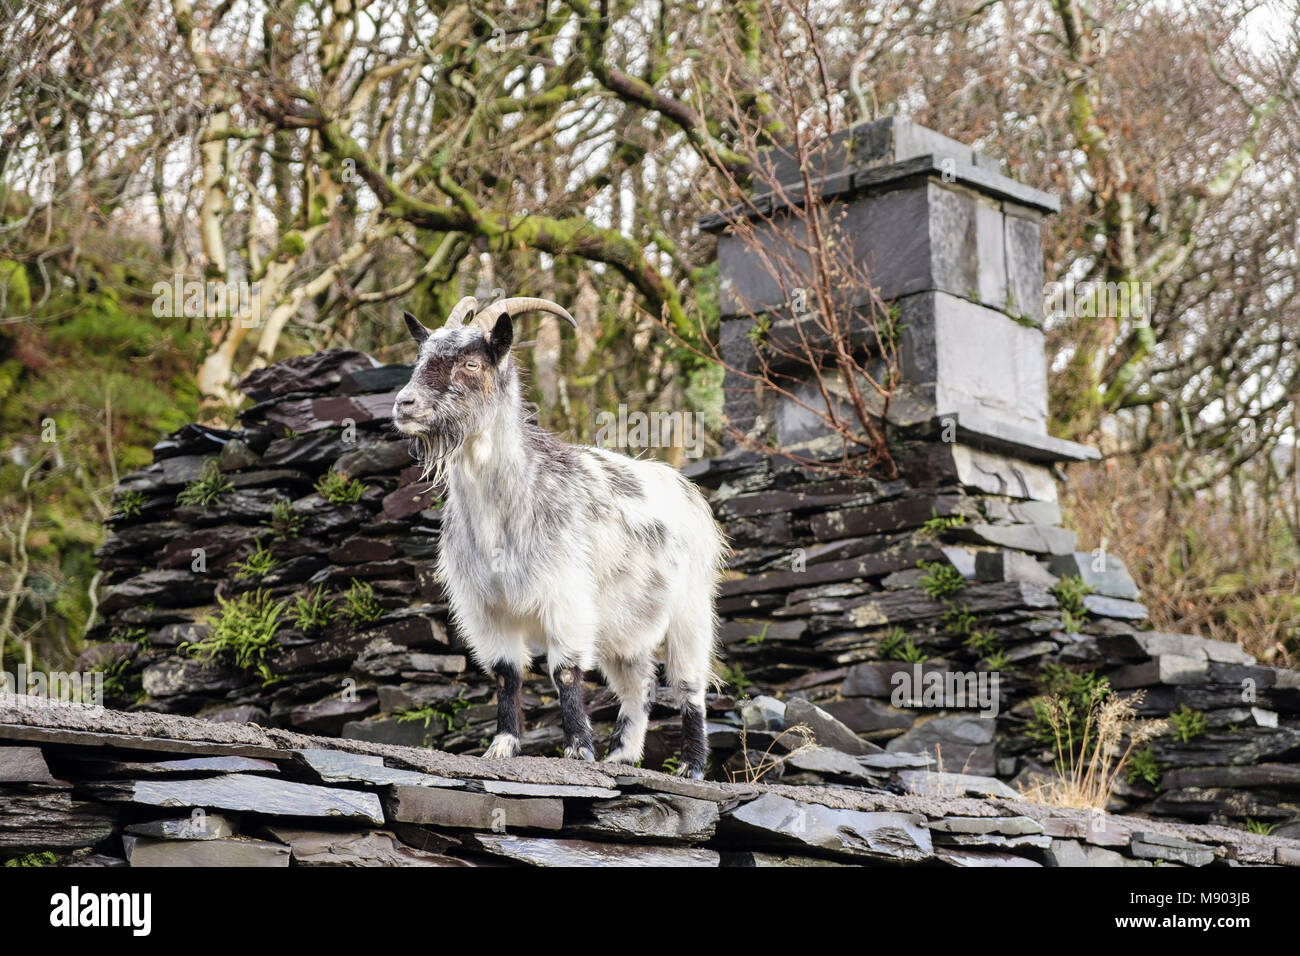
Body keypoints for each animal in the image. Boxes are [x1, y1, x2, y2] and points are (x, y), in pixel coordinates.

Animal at [392, 296, 726, 778]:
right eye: (420, 358)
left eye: (472, 363)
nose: (404, 404)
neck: (504, 510)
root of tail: (686, 491)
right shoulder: (486, 608)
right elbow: (506, 672)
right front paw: (502, 746)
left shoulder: (564, 595)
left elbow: (565, 670)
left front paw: (578, 749)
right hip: (623, 625)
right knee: (639, 683)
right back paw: (622, 755)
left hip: (690, 608)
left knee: (689, 682)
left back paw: (691, 766)